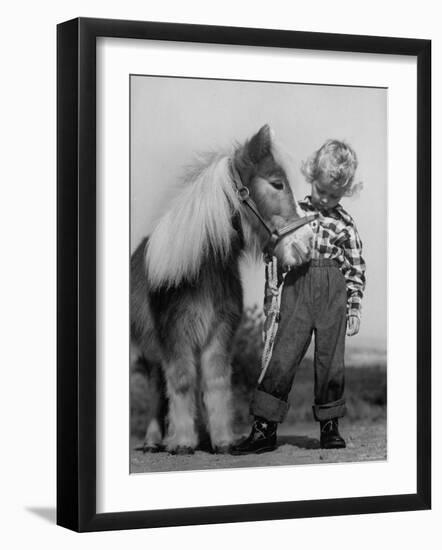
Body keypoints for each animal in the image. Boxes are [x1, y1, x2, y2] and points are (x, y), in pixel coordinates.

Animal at [129, 126, 312, 458]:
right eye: (277, 184)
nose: (305, 244)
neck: (199, 269)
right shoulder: (176, 336)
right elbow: (183, 383)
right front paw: (182, 441)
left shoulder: (218, 333)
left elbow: (215, 383)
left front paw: (222, 440)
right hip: (152, 352)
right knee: (158, 390)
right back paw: (153, 440)